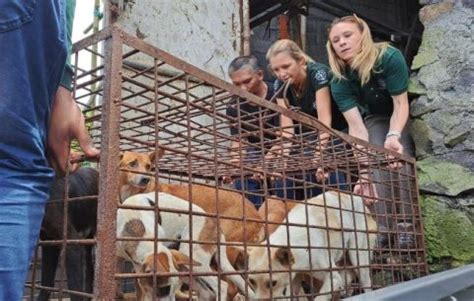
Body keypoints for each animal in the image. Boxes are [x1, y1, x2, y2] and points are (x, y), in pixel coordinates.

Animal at [246, 191, 376, 298]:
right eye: (251, 281)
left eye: (273, 283)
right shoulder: (294, 279)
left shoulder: (333, 278)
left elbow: (320, 297)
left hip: (358, 260)